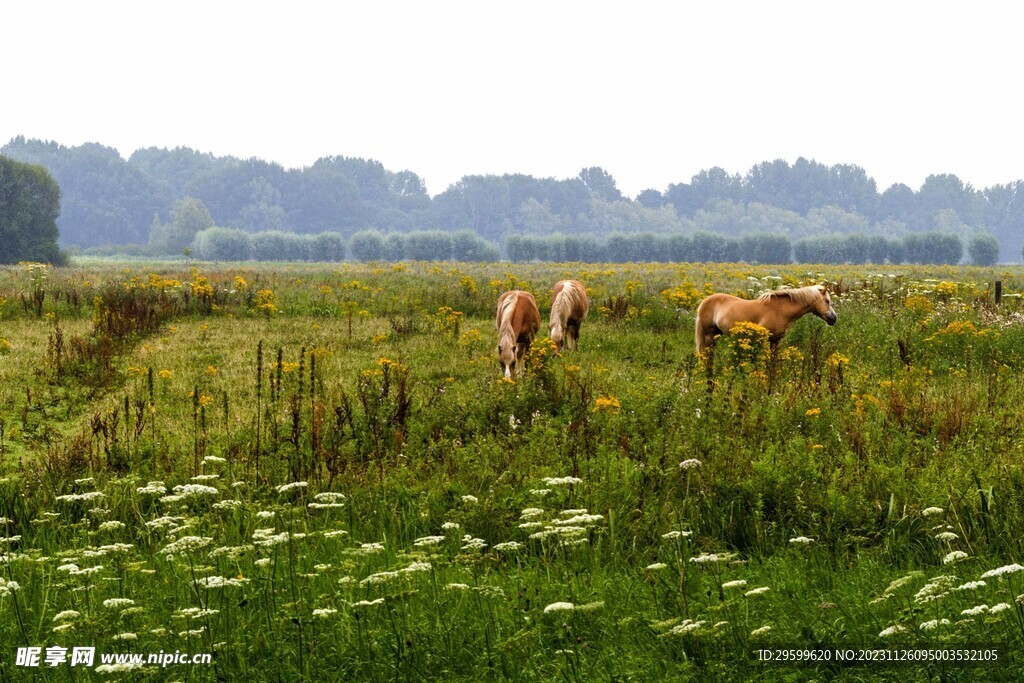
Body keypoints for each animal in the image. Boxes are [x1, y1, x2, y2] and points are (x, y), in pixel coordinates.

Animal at [692, 284, 835, 356]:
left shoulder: (776, 340)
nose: (834, 318)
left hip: (717, 334)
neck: (780, 310)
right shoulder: (765, 339)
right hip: (709, 335)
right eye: (827, 301)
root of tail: (704, 302)